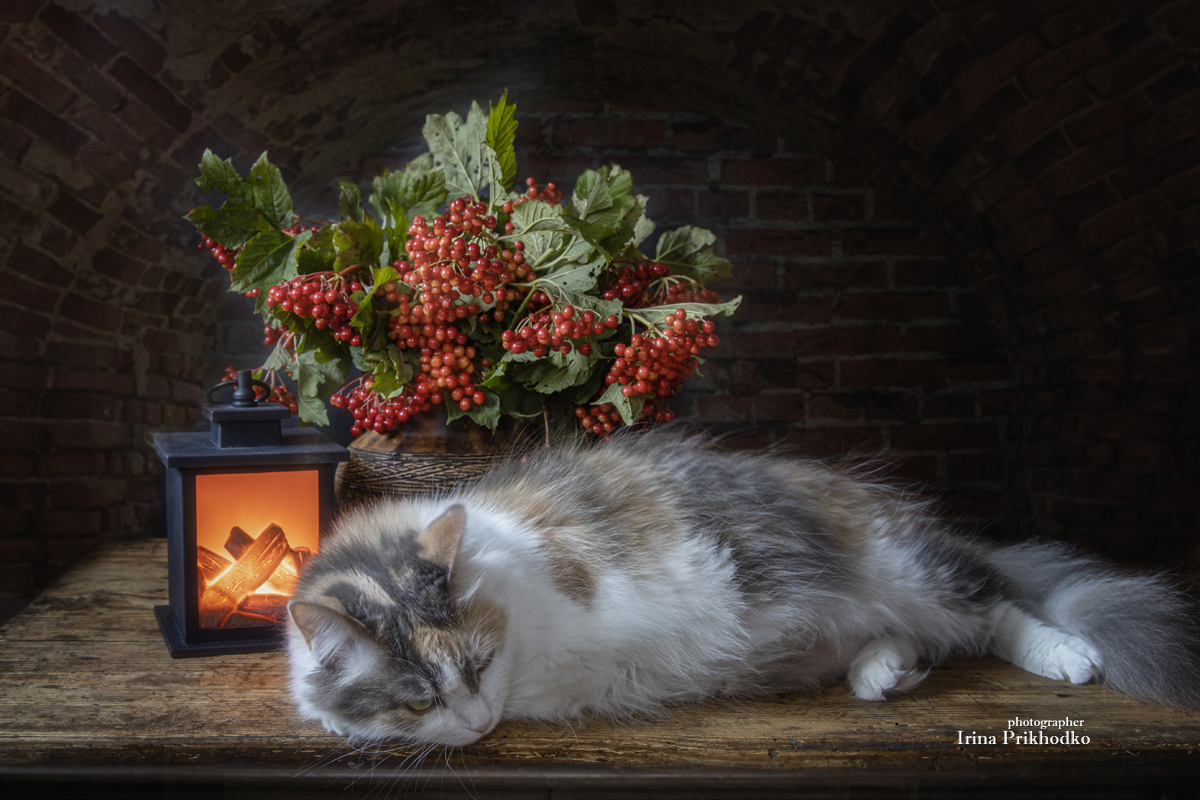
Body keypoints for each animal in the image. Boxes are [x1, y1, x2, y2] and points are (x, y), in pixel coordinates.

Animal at [283, 431, 1200, 753]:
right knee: (926, 639)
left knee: (997, 611)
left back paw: (1067, 656)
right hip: (887, 605)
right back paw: (880, 675)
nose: (477, 722)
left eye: (476, 665)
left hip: (912, 571)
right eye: (416, 698)